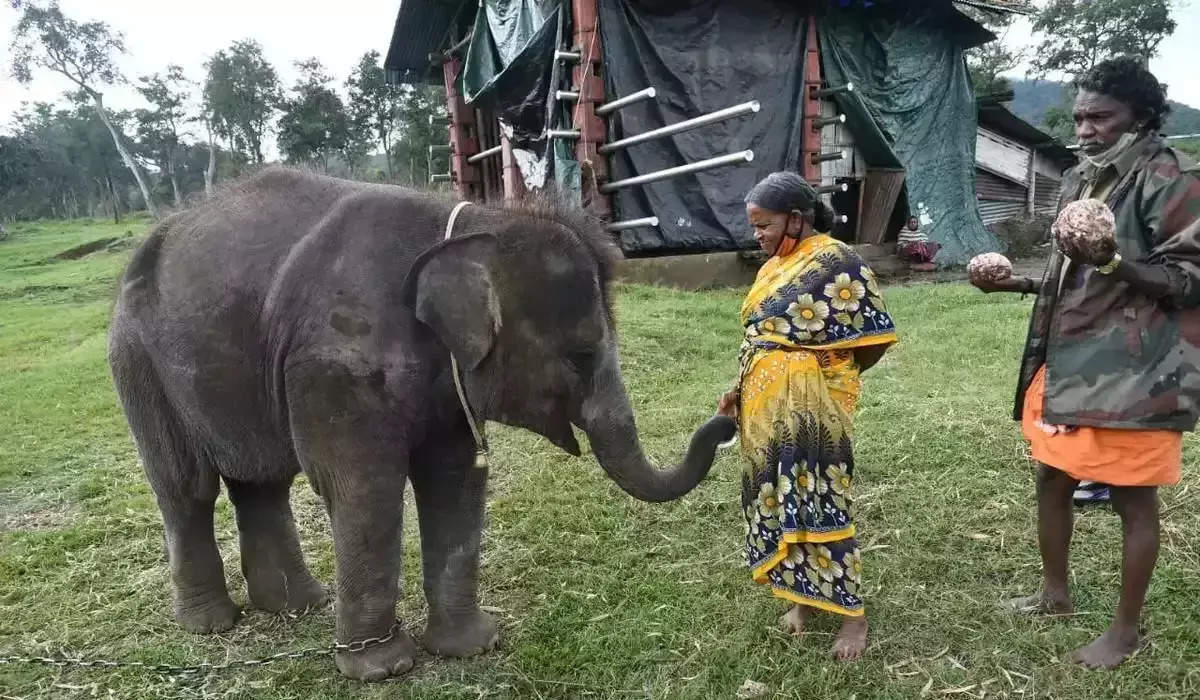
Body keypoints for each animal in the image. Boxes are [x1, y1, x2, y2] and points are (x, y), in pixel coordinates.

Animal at [110, 166, 729, 681]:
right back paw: (211, 624)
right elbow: (365, 488)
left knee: (262, 482)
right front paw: (383, 670)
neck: (468, 224)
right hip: (138, 363)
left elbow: (453, 477)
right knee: (186, 487)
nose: (725, 419)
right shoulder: (335, 365)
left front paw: (473, 646)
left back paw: (300, 605)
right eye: (579, 357)